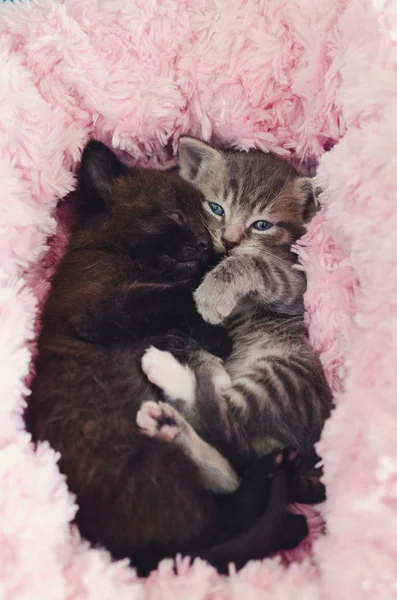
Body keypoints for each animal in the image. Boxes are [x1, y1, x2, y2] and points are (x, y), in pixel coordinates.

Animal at [26, 139, 308, 576]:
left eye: (203, 216)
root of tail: (131, 556)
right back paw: (275, 486)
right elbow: (171, 294)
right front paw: (214, 333)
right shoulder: (98, 309)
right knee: (218, 510)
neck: (108, 248)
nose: (206, 243)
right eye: (176, 215)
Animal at [139, 138, 332, 500]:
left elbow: (255, 264)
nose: (229, 240)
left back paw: (169, 373)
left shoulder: (296, 284)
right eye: (216, 208)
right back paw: (169, 426)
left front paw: (213, 292)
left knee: (227, 426)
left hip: (284, 376)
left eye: (262, 225)